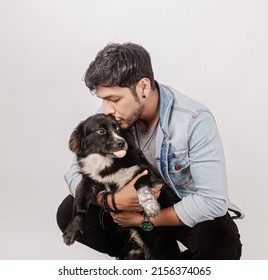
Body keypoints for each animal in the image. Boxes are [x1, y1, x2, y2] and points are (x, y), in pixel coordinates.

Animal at [62, 112, 180, 260]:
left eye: (117, 128)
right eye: (101, 131)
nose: (121, 142)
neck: (107, 162)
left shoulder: (149, 173)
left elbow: (138, 183)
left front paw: (151, 207)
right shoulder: (88, 182)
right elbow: (80, 206)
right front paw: (71, 231)